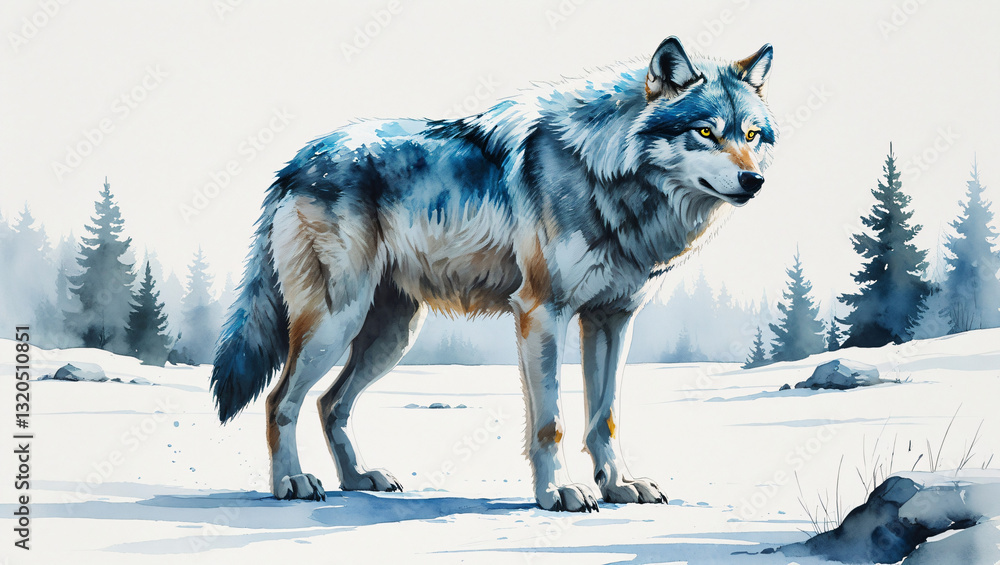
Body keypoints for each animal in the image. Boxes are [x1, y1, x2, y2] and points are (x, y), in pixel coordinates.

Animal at [211, 36, 776, 512]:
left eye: (751, 135)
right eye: (705, 132)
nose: (754, 180)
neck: (605, 171)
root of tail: (294, 163)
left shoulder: (612, 319)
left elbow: (605, 418)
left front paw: (618, 486)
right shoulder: (541, 313)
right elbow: (551, 422)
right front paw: (558, 493)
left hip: (392, 335)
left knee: (331, 403)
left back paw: (357, 479)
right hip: (336, 324)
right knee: (280, 401)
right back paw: (291, 482)